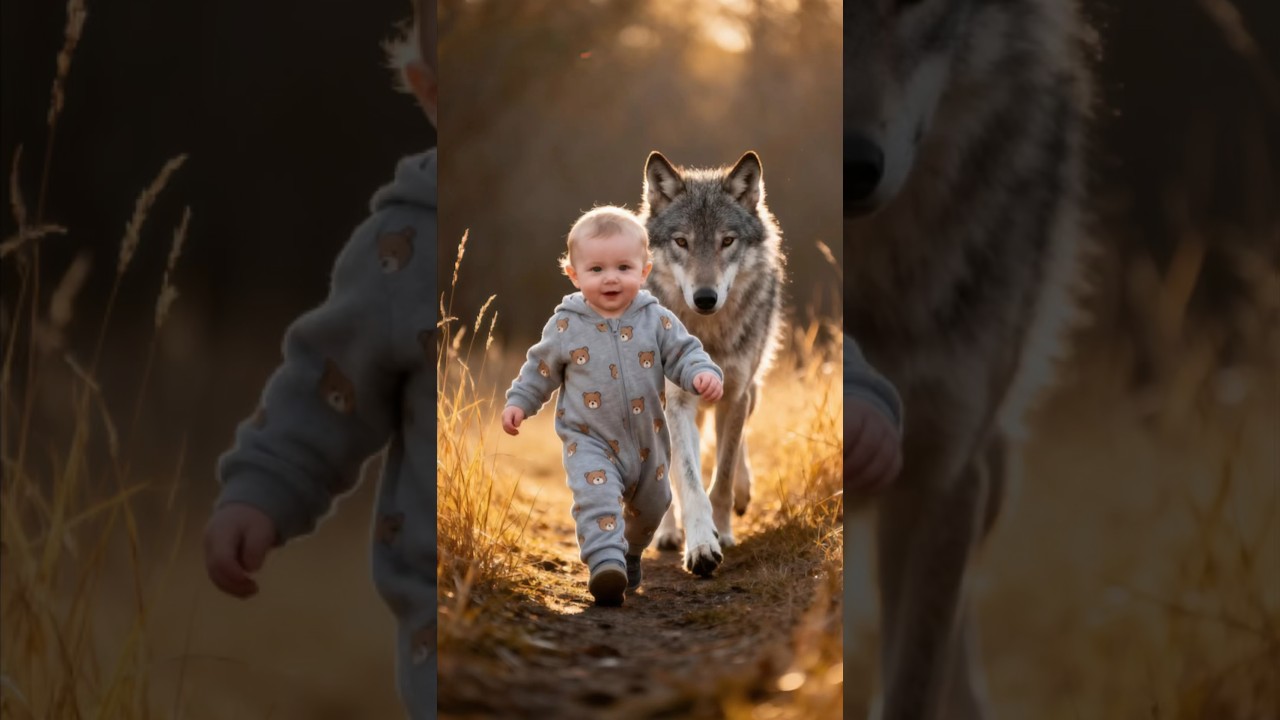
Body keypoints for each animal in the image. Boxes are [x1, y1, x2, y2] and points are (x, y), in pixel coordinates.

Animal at [638, 150, 785, 577]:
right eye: (682, 242)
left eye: (727, 241)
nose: (705, 297)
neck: (707, 334)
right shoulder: (677, 403)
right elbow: (689, 480)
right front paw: (701, 544)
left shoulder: (735, 394)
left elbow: (721, 475)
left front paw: (724, 531)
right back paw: (668, 532)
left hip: (751, 389)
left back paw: (743, 493)